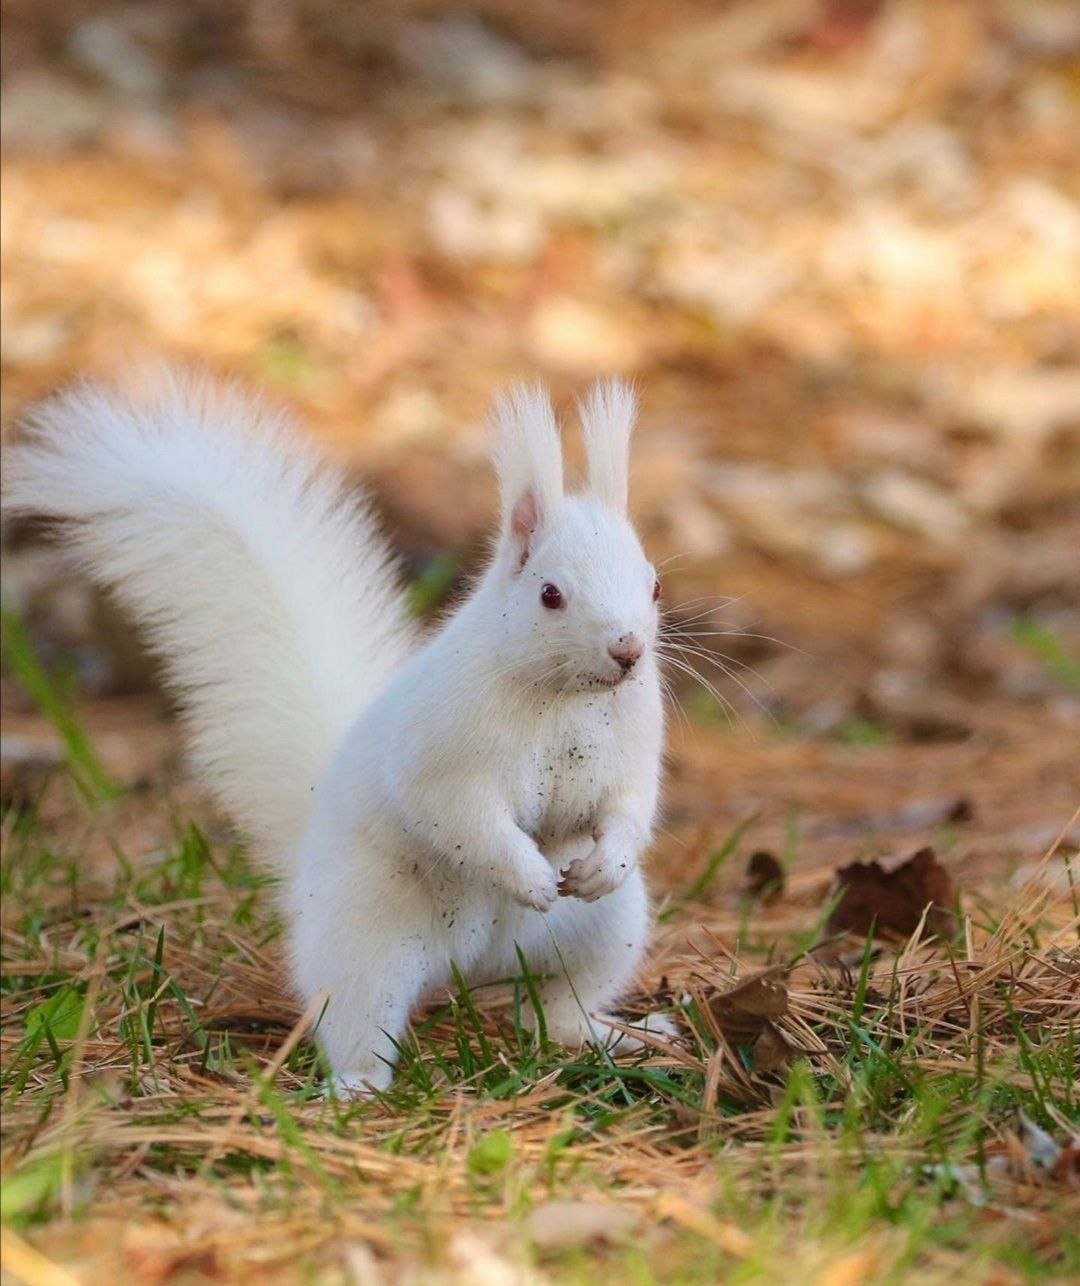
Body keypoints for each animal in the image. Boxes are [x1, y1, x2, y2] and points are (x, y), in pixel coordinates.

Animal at [4, 367, 668, 1090]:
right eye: (551, 594)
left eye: (654, 585)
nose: (628, 650)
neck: (566, 701)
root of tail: (469, 967)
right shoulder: (444, 750)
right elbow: (462, 816)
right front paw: (528, 876)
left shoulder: (633, 751)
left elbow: (629, 807)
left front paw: (605, 861)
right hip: (367, 941)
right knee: (358, 1023)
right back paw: (357, 1089)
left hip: (607, 929)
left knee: (554, 1005)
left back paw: (612, 1033)